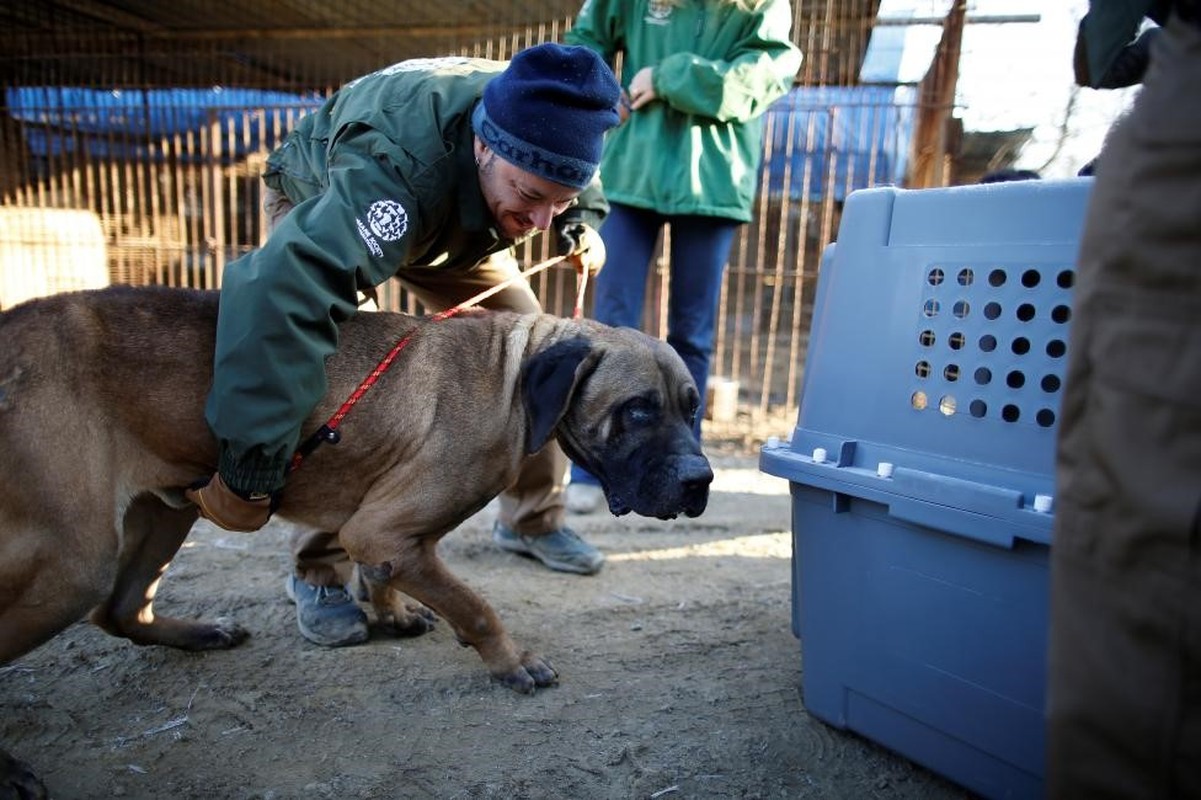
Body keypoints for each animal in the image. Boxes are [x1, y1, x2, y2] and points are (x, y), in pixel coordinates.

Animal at [0, 283, 710, 787]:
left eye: (694, 407)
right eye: (637, 411)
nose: (701, 479)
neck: (512, 380)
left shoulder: (386, 534)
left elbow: (391, 578)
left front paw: (393, 614)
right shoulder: (382, 529)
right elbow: (476, 606)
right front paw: (512, 661)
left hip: (167, 512)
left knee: (121, 611)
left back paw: (200, 633)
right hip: (74, 562)